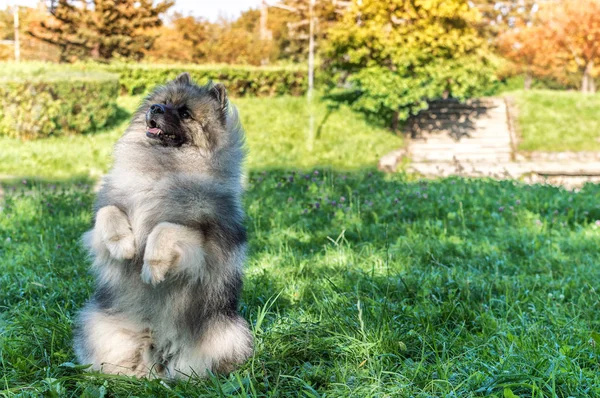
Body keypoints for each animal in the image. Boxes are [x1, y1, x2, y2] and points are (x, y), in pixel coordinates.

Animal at [72, 73, 253, 380]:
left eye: (185, 113)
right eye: (163, 102)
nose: (154, 108)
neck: (162, 170)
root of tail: (155, 343)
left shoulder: (202, 242)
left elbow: (164, 229)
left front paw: (152, 267)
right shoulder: (108, 214)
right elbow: (109, 213)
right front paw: (123, 245)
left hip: (229, 334)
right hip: (96, 324)